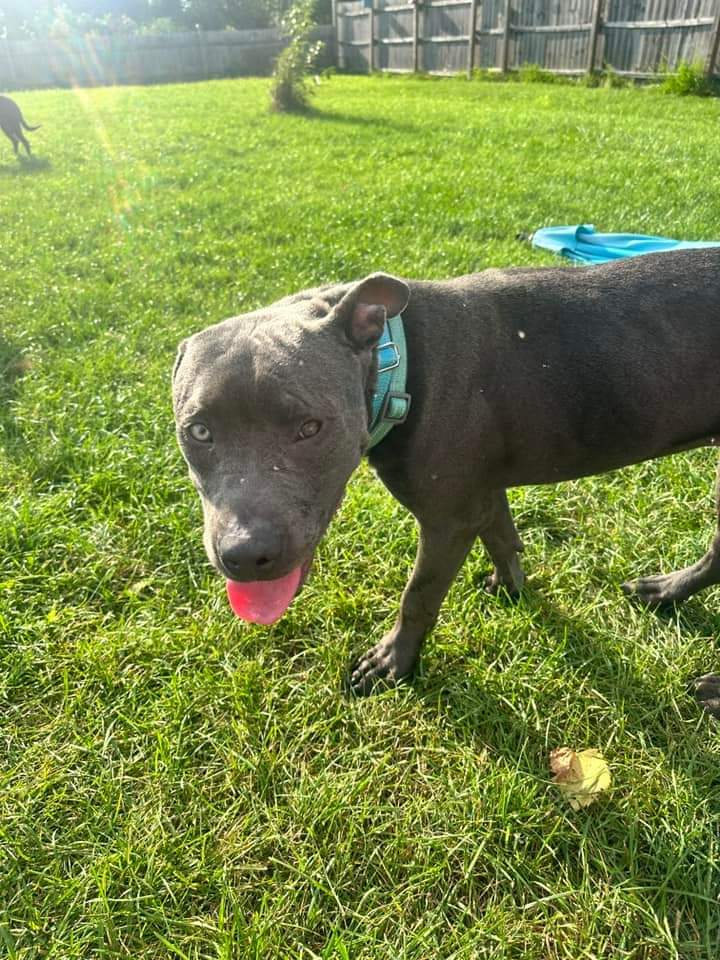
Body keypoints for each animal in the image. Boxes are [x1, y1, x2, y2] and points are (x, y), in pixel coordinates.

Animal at [173, 249, 720, 712]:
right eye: (197, 431)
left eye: (310, 427)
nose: (245, 555)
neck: (395, 364)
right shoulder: (481, 493)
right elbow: (502, 537)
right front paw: (510, 588)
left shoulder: (446, 521)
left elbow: (419, 595)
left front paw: (394, 661)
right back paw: (666, 593)